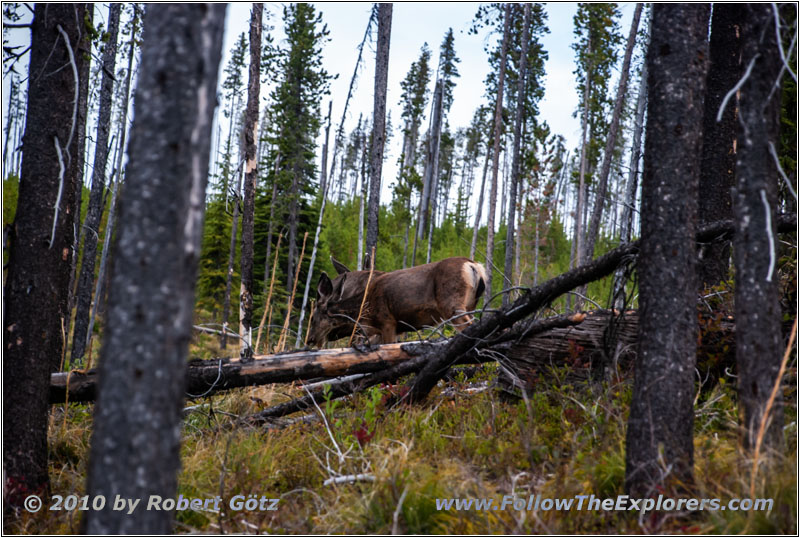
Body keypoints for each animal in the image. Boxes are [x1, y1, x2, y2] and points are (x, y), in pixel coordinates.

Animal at [307, 256, 487, 347]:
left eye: (313, 318)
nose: (310, 339)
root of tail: (473, 265)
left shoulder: (387, 323)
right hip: (470, 305)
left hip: (451, 304)